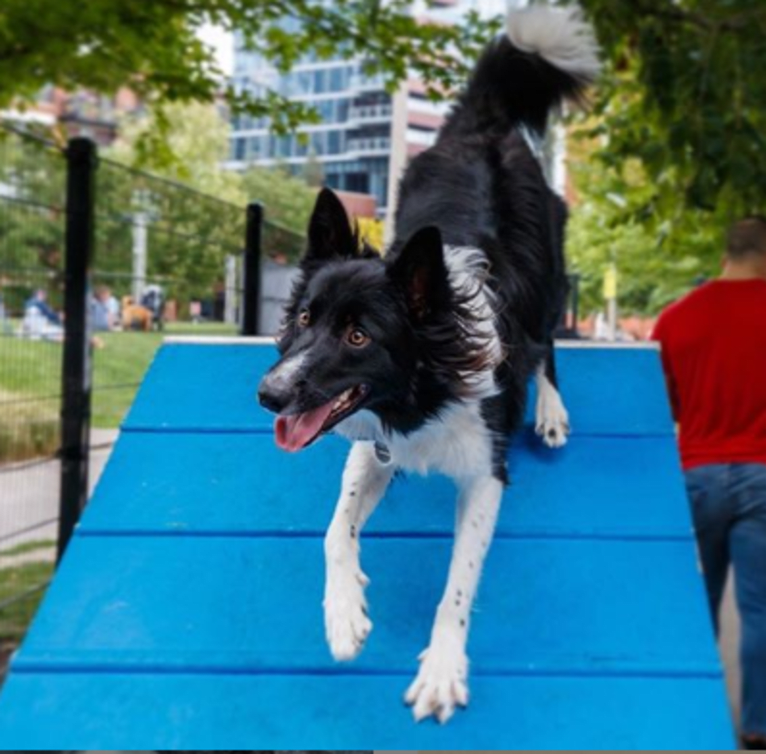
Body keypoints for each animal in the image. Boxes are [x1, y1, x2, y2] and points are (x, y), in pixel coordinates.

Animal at [258, 5, 600, 724]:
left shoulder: (487, 473)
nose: (268, 395)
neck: (425, 389)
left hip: (552, 274)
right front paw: (344, 615)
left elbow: (458, 584)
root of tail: (483, 123)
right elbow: (334, 530)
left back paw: (553, 409)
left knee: (549, 341)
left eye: (359, 336)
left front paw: (442, 669)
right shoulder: (374, 444)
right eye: (304, 319)